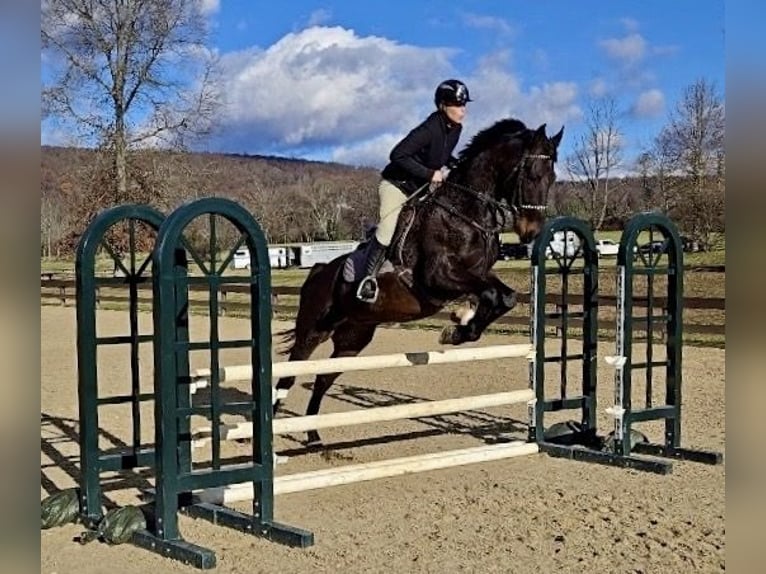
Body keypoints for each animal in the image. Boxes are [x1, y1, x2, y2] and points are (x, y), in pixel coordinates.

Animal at [274, 118, 564, 444]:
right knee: (288, 375)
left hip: (353, 337)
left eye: (552, 177)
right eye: (532, 173)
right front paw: (456, 329)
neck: (465, 212)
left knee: (323, 377)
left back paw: (312, 435)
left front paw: (461, 322)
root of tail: (318, 271)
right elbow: (491, 294)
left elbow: (504, 296)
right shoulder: (437, 278)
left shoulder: (477, 275)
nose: (531, 233)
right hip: (312, 330)